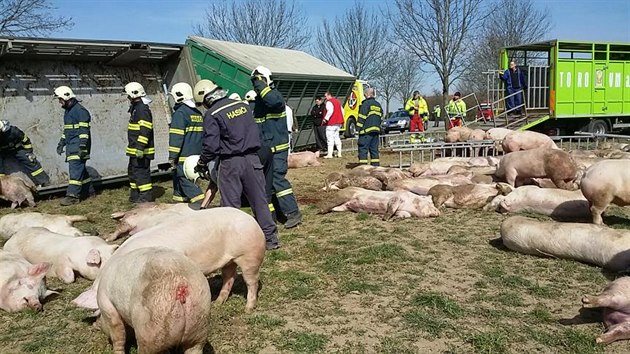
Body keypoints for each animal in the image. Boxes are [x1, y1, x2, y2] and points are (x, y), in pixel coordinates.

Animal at [74, 207, 266, 312]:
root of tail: (251, 220)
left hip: (250, 255)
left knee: (252, 281)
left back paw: (248, 308)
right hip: (228, 260)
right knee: (229, 277)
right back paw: (218, 303)